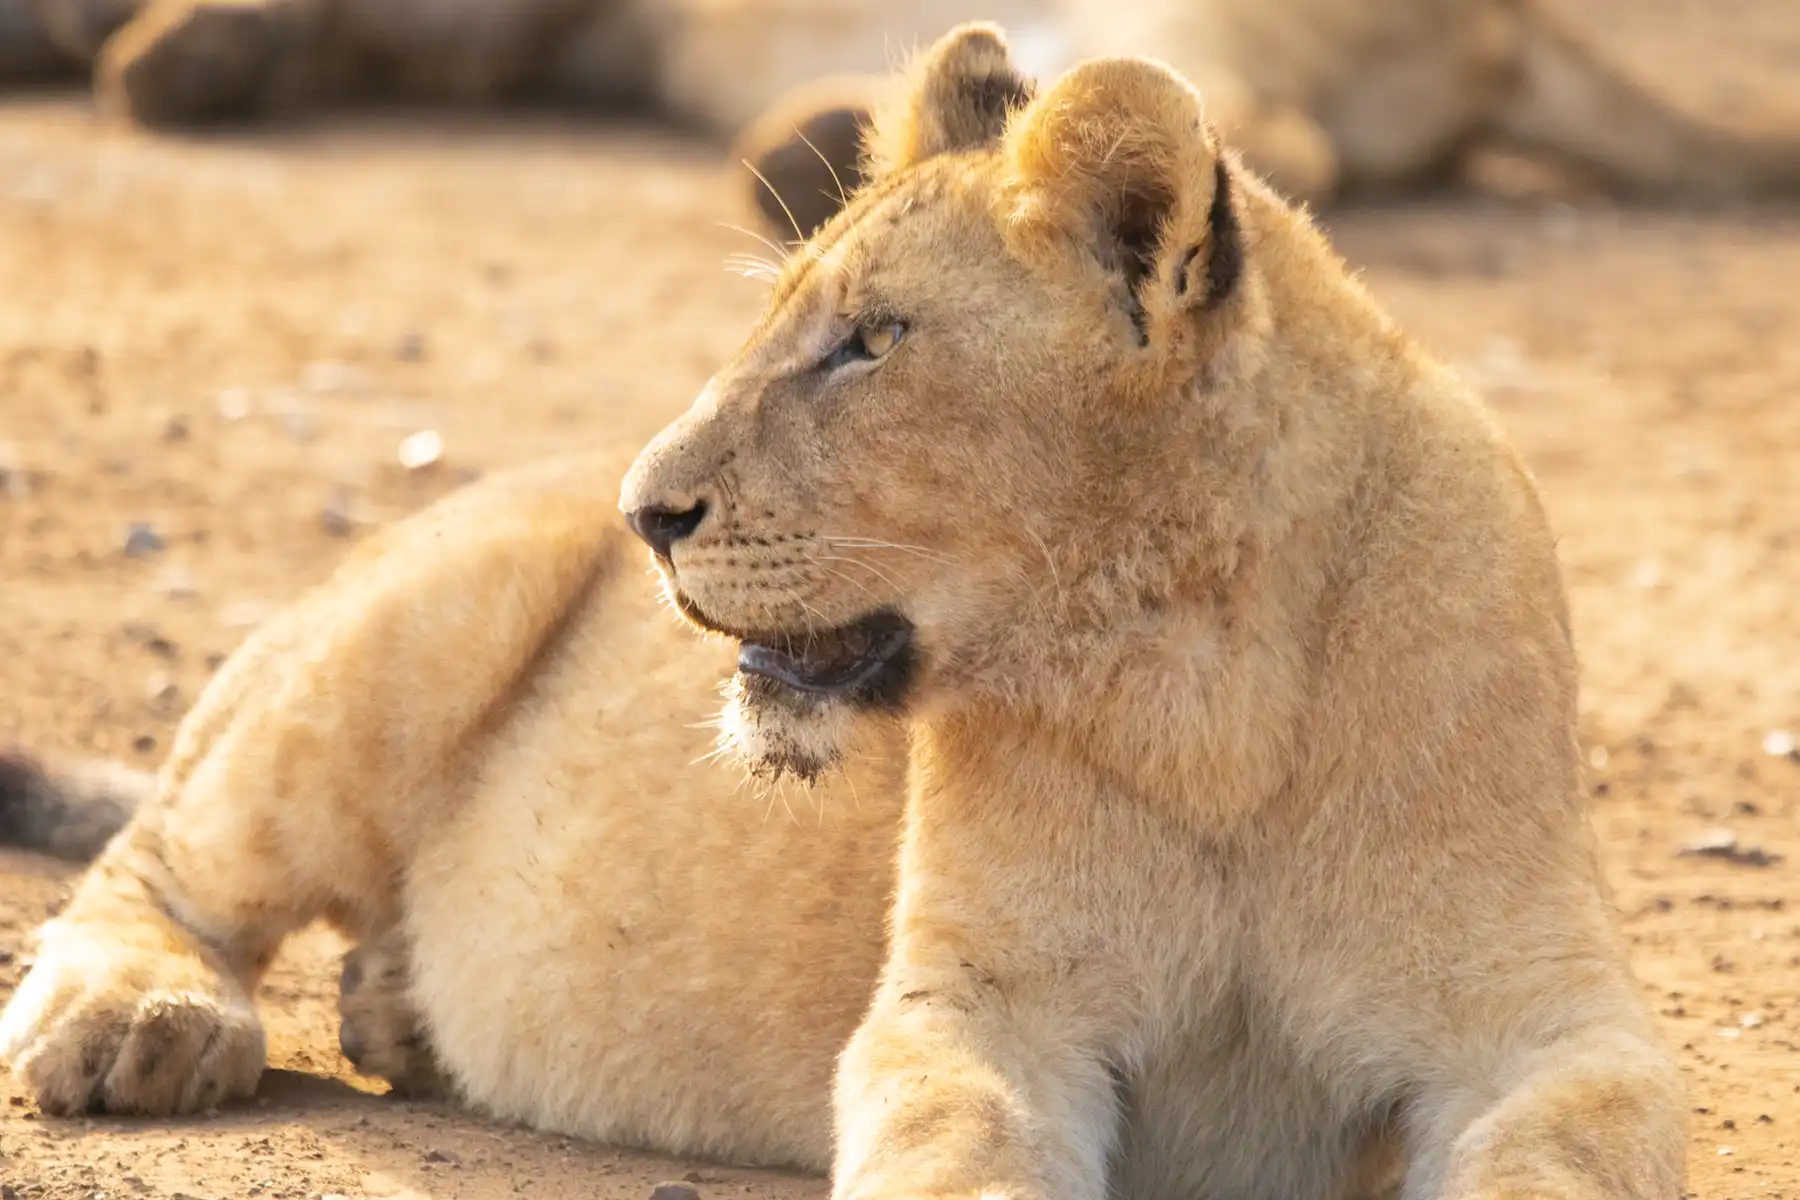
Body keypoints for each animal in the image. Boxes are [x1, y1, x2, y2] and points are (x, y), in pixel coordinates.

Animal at [1, 24, 1685, 1200]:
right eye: (780, 321)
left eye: (867, 343)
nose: (645, 509)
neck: (1206, 697)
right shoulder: (979, 1006)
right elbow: (960, 1147)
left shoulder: (1547, 1028)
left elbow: (1560, 1154)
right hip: (410, 626)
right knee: (164, 861)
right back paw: (146, 1023)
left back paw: (394, 1012)